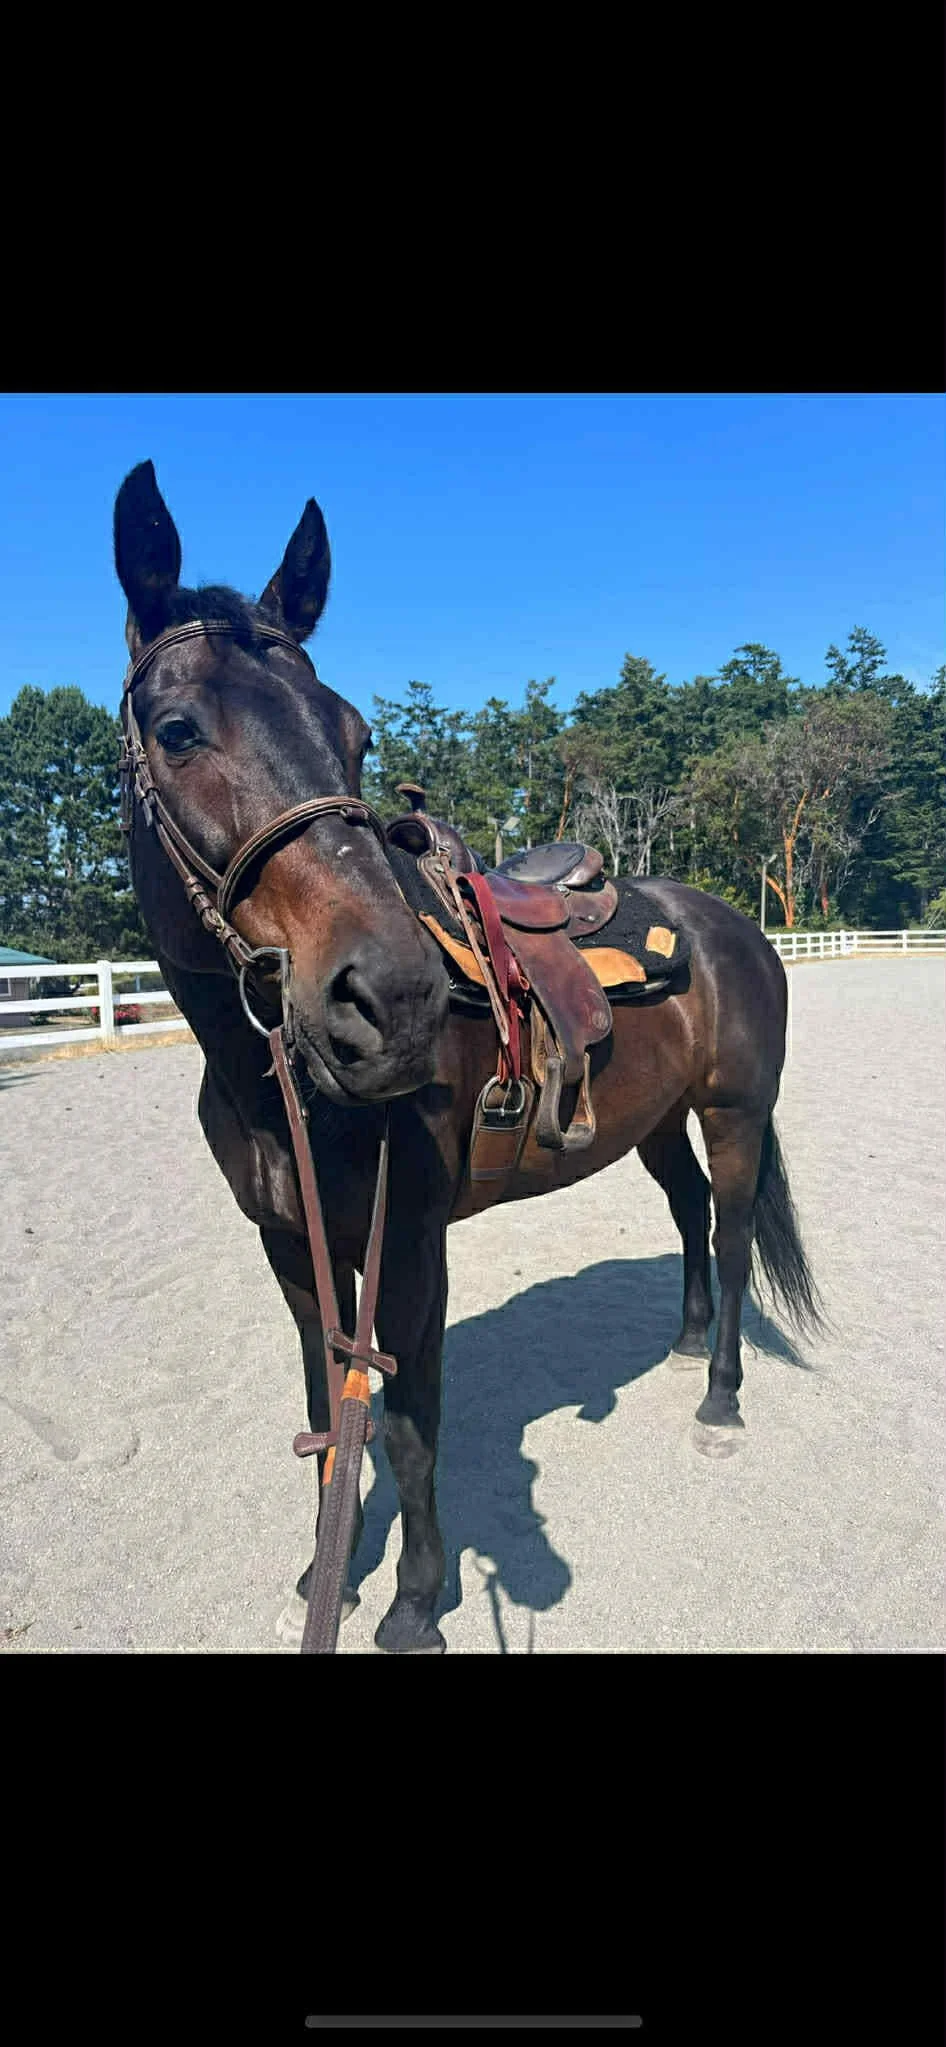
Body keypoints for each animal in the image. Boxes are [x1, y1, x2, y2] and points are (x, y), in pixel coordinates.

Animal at [113, 459, 822, 1653]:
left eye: (355, 734)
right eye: (176, 728)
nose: (390, 1000)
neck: (278, 1092)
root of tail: (734, 925)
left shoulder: (408, 1243)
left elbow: (406, 1424)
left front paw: (412, 1602)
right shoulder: (291, 1245)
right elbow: (328, 1409)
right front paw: (326, 1570)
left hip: (733, 1113)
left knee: (729, 1240)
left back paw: (719, 1394)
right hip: (655, 1123)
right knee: (687, 1214)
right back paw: (681, 1345)